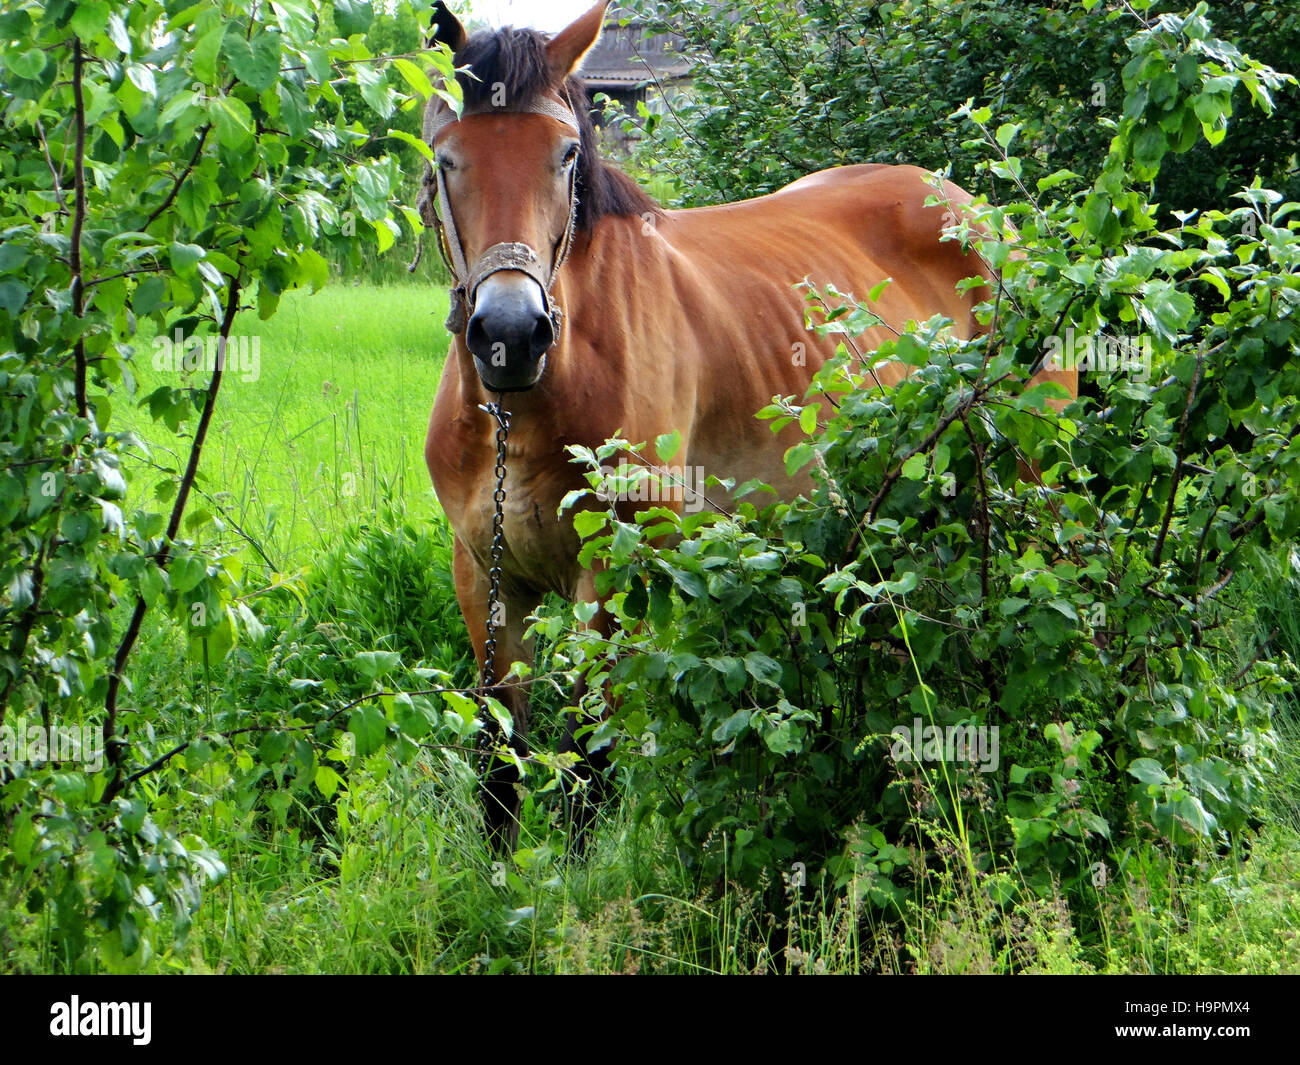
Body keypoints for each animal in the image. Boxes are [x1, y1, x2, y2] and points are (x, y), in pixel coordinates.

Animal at [416, 2, 1076, 847]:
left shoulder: (617, 575)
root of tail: (989, 222)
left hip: (1031, 491)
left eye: (564, 155)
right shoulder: (483, 574)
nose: (511, 332)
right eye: (447, 158)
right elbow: (499, 766)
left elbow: (589, 765)